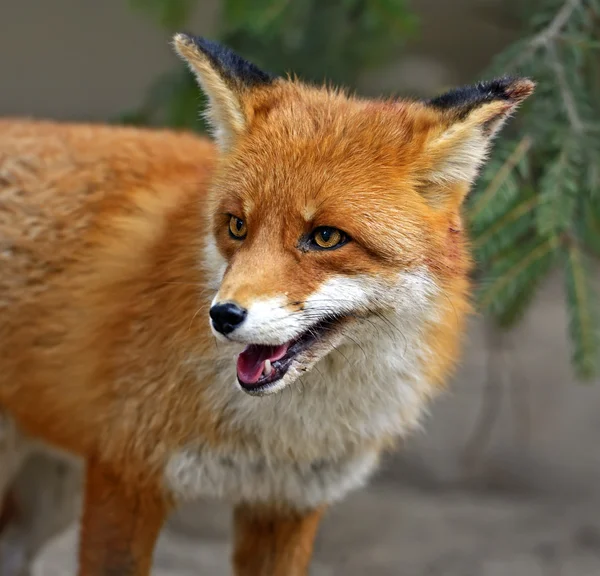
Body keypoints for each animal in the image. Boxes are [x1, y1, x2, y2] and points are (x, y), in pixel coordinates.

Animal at [0, 33, 536, 572]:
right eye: (237, 226)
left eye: (326, 237)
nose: (222, 316)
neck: (282, 435)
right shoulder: (127, 475)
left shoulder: (287, 502)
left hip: (50, 498)